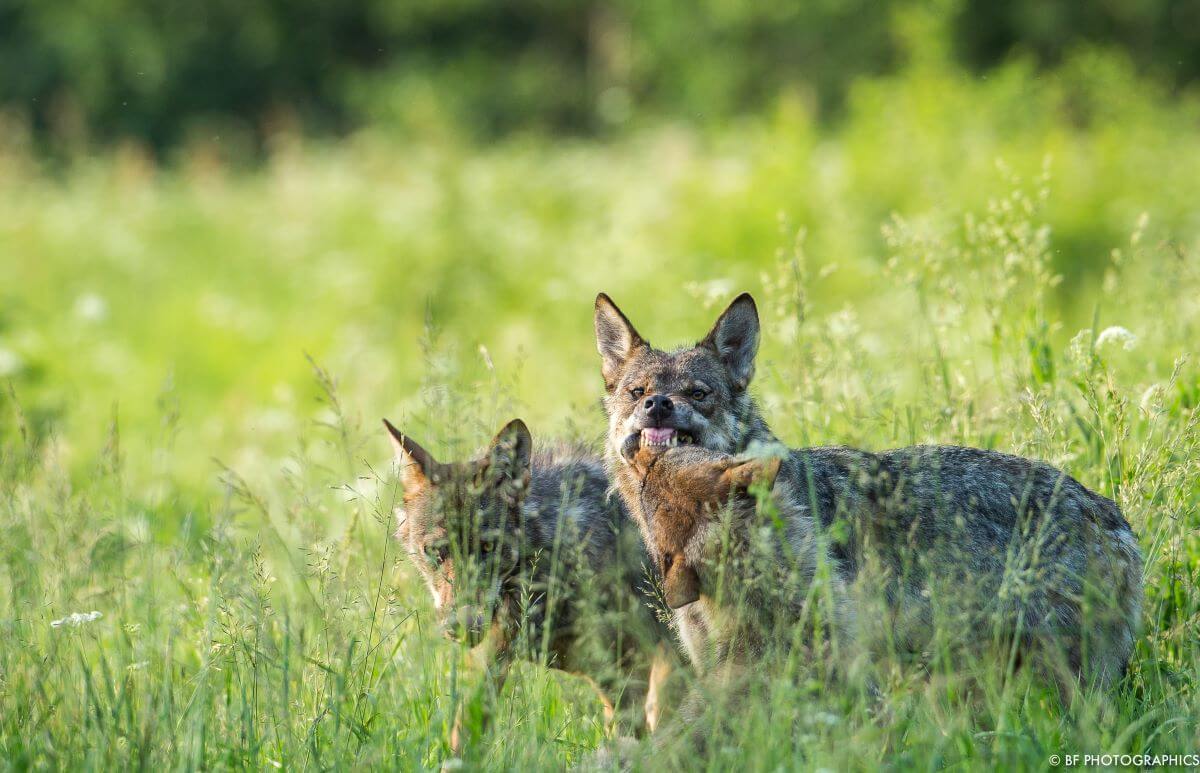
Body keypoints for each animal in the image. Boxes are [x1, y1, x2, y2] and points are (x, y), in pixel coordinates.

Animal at [381, 420, 676, 753]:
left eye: (488, 547)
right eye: (436, 551)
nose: (463, 625)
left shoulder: (627, 668)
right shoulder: (489, 661)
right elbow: (464, 734)